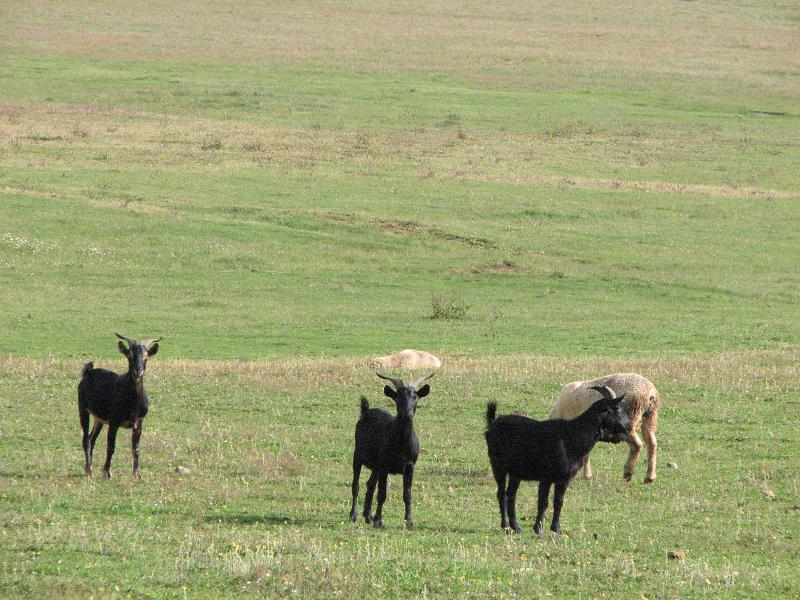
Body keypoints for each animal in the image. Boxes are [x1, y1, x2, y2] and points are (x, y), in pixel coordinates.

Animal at [78, 332, 161, 478]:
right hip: (83, 409)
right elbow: (111, 446)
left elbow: (136, 449)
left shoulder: (139, 423)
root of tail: (88, 372)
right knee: (85, 440)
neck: (133, 403)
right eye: (129, 355)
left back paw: (88, 468)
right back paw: (90, 470)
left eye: (146, 357)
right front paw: (107, 472)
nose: (138, 371)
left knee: (92, 438)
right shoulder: (114, 422)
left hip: (99, 419)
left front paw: (137, 475)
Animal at [348, 372, 434, 528]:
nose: (408, 413)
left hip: (375, 466)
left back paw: (368, 516)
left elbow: (407, 495)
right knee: (356, 485)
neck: (401, 445)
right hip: (357, 456)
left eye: (416, 397)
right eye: (398, 397)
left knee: (370, 484)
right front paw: (379, 521)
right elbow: (382, 494)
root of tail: (366, 410)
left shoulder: (409, 466)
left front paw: (409, 522)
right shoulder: (384, 466)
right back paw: (354, 516)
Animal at [482, 386, 632, 536]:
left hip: (516, 472)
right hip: (498, 466)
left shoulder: (564, 479)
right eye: (617, 408)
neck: (572, 437)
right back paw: (505, 525)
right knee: (501, 494)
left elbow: (558, 502)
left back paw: (516, 527)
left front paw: (556, 529)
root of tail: (492, 424)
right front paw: (538, 528)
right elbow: (543, 502)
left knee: (511, 494)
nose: (630, 426)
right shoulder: (546, 477)